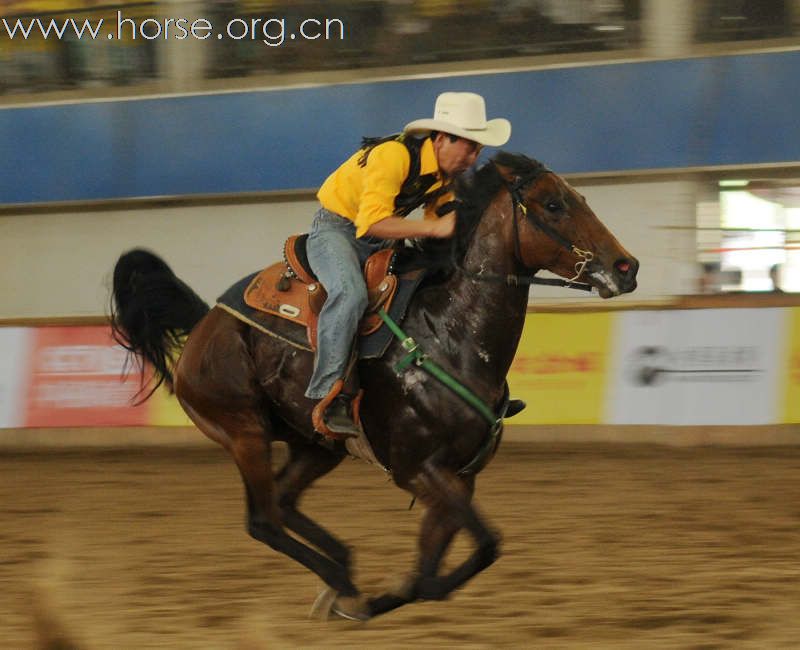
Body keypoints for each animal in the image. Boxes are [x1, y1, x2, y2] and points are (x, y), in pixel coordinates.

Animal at [111, 152, 636, 616]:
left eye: (579, 197)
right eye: (553, 204)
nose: (626, 266)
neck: (449, 336)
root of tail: (206, 321)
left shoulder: (460, 478)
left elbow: (441, 565)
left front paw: (390, 594)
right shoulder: (419, 469)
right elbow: (481, 548)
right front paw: (378, 598)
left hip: (315, 444)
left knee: (283, 501)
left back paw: (342, 571)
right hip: (244, 431)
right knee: (263, 520)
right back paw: (340, 581)